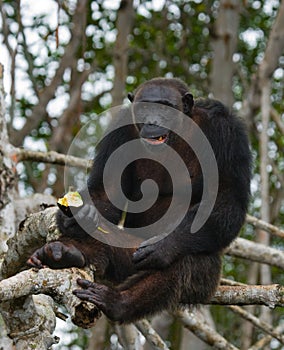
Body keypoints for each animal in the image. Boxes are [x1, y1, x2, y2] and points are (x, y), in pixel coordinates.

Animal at [28, 78, 251, 324]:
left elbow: (227, 200)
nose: (153, 120)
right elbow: (108, 190)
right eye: (146, 107)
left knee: (184, 261)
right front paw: (75, 217)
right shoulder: (119, 132)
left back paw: (117, 302)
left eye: (165, 107)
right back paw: (64, 252)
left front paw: (164, 246)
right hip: (127, 259)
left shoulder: (226, 132)